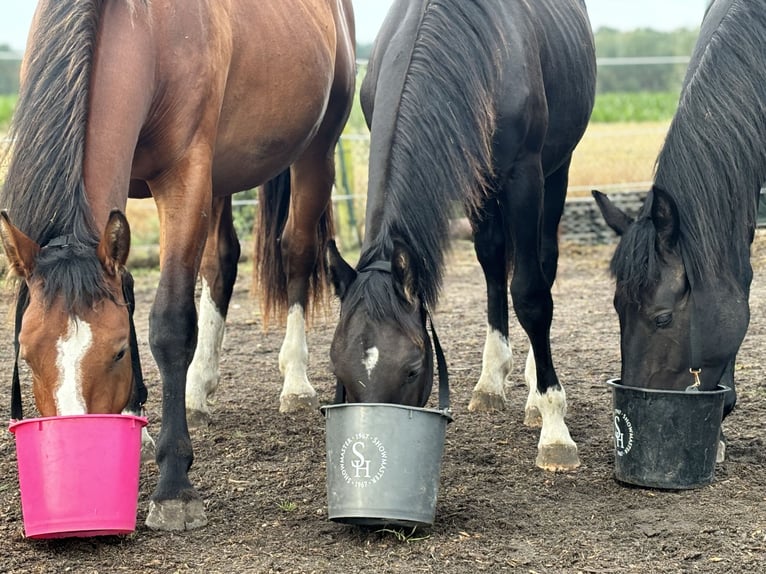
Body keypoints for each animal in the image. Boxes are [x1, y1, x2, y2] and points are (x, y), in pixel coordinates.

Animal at [0, 0, 356, 536]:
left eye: (117, 352)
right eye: (25, 354)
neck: (147, 30)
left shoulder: (184, 177)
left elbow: (170, 323)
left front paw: (173, 486)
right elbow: (127, 288)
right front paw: (138, 418)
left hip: (315, 153)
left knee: (296, 251)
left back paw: (295, 383)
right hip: (223, 174)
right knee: (220, 262)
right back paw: (198, 389)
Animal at [328, 0, 596, 472]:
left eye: (413, 368)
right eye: (339, 371)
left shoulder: (525, 175)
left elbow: (531, 294)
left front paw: (554, 429)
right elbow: (494, 267)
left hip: (555, 170)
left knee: (543, 263)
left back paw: (533, 393)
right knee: (492, 262)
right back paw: (492, 381)